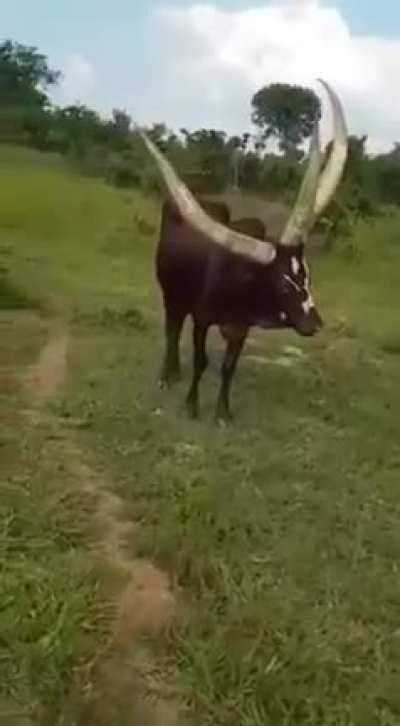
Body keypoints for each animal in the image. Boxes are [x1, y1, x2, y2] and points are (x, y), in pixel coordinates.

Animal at [138, 80, 348, 422]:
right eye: (283, 284)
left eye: (307, 275)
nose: (315, 324)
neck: (240, 281)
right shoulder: (202, 319)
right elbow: (201, 360)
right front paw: (192, 405)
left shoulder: (242, 328)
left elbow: (228, 367)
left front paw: (223, 412)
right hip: (171, 293)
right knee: (172, 329)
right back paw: (168, 375)